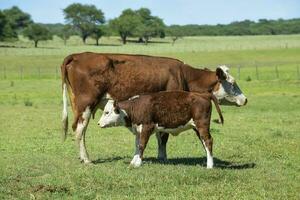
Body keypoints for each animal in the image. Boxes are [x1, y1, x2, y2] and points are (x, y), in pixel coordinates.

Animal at [61, 52, 246, 163]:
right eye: (232, 83)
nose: (245, 99)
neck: (184, 75)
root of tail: (78, 55)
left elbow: (158, 135)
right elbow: (163, 136)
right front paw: (162, 157)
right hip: (86, 105)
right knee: (79, 130)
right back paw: (86, 159)